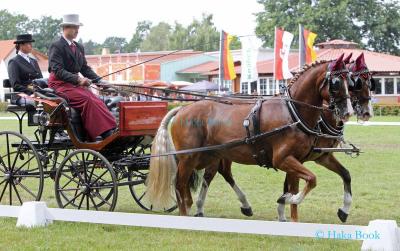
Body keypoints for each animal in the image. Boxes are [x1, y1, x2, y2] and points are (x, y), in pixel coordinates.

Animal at [146, 54, 354, 216]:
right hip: (189, 158)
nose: (348, 112)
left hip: (207, 156)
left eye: (351, 82)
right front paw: (288, 200)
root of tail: (182, 109)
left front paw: (288, 203)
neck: (293, 112)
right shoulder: (283, 159)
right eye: (336, 83)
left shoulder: (300, 159)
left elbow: (320, 180)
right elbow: (311, 180)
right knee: (181, 188)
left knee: (197, 185)